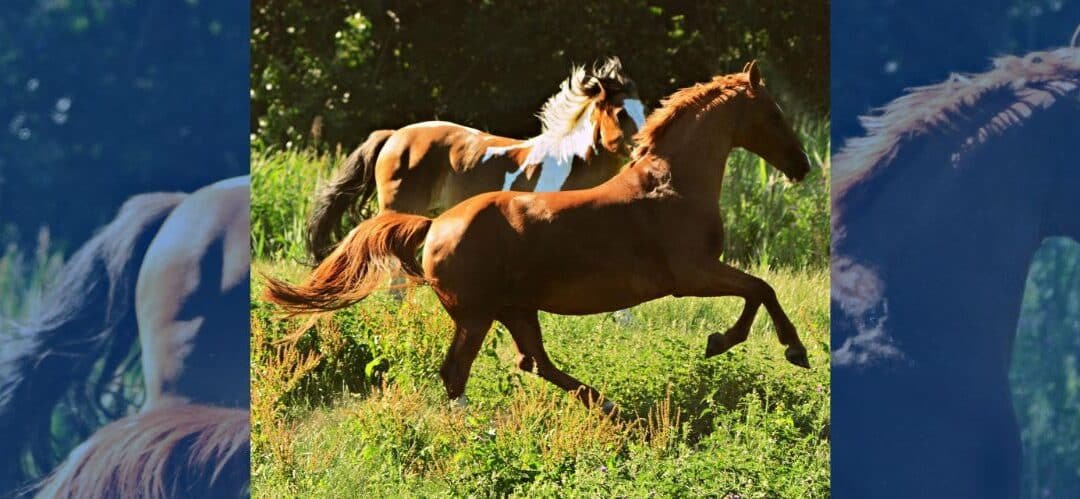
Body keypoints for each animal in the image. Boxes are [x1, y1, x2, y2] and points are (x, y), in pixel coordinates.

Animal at [306, 56, 647, 261]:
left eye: (643, 109)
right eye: (621, 112)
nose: (644, 148)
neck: (569, 165)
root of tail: (394, 135)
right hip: (397, 209)